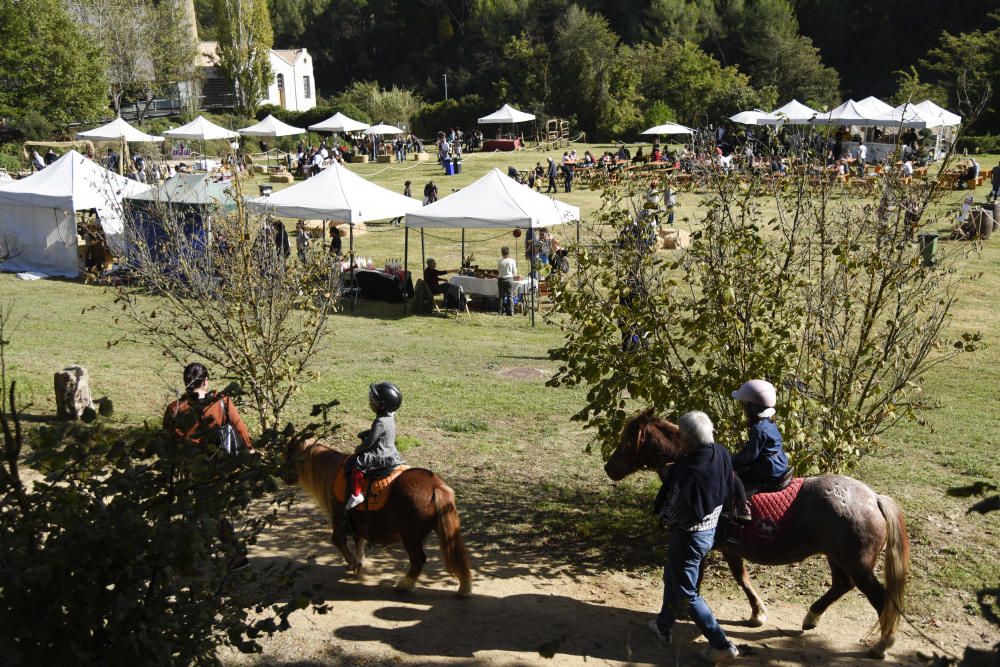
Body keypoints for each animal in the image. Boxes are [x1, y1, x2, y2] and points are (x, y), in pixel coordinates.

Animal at [280, 438, 470, 600]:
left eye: (288, 455)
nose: (283, 477)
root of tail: (436, 487)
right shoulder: (358, 523)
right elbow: (359, 541)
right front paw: (359, 561)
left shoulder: (339, 519)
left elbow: (338, 541)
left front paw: (354, 564)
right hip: (442, 530)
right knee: (457, 555)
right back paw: (464, 588)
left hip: (411, 537)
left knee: (418, 560)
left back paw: (404, 585)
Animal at [604, 410, 912, 660]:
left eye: (628, 439)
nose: (609, 468)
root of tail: (874, 498)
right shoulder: (729, 548)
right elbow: (741, 578)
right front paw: (757, 613)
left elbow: (699, 580)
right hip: (837, 557)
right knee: (841, 585)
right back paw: (811, 618)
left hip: (857, 565)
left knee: (879, 599)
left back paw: (883, 644)